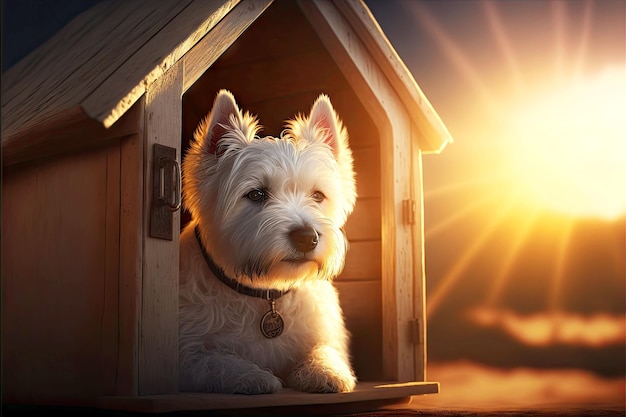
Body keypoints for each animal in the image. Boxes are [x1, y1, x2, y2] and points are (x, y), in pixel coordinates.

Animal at [178, 88, 358, 394]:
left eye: (317, 195)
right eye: (256, 194)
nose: (306, 238)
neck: (267, 293)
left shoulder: (325, 336)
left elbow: (324, 350)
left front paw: (327, 372)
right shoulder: (184, 351)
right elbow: (214, 361)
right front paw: (253, 376)